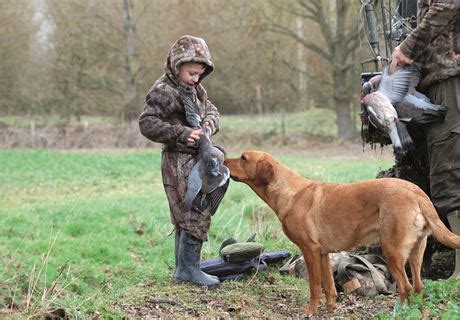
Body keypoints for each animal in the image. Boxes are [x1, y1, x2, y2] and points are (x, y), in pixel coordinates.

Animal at [224, 150, 460, 316]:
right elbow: (330, 286)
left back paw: (399, 311)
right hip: (416, 252)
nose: (223, 161)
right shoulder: (322, 253)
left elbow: (315, 286)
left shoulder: (309, 250)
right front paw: (330, 308)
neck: (289, 192)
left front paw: (310, 311)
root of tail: (416, 191)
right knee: (418, 287)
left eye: (243, 157)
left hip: (392, 250)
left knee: (405, 287)